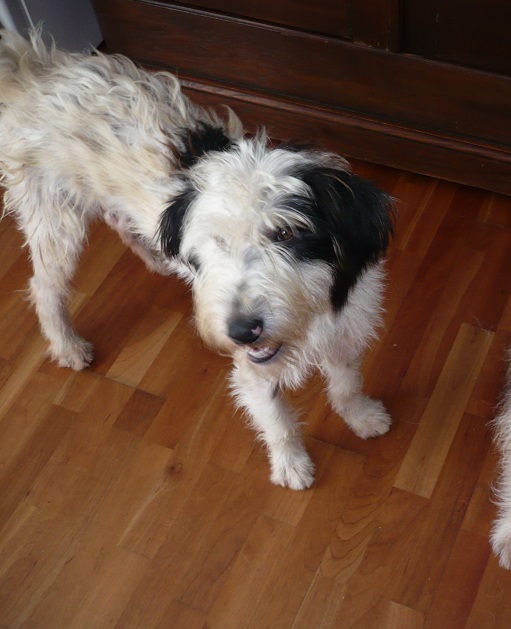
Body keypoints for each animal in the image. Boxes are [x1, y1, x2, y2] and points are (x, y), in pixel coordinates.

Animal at [0, 29, 395, 489]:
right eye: (215, 242)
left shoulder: (347, 327)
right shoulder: (253, 369)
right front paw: (291, 464)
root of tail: (33, 70)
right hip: (55, 221)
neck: (311, 318)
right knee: (44, 287)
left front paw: (362, 416)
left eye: (286, 234)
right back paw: (67, 345)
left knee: (116, 220)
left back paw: (153, 253)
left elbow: (347, 383)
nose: (242, 330)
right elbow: (277, 419)